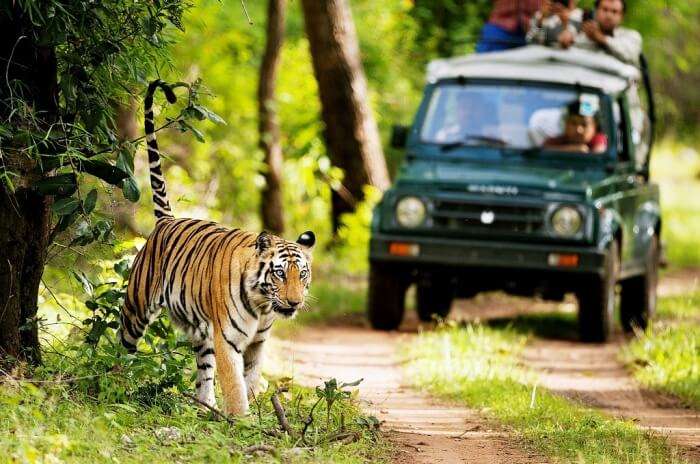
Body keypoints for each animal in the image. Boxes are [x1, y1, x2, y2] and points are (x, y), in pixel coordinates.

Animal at [119, 80, 316, 416]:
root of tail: (167, 220)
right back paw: (110, 376)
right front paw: (241, 420)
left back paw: (205, 407)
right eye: (279, 274)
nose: (294, 302)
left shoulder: (257, 343)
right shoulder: (229, 340)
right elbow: (235, 385)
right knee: (122, 344)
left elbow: (250, 379)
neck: (264, 305)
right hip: (137, 306)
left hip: (202, 331)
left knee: (203, 370)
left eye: (302, 274)